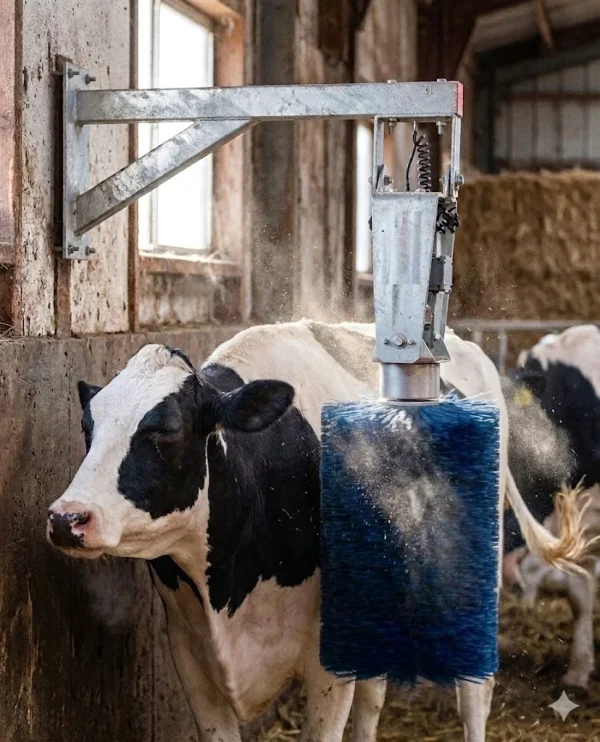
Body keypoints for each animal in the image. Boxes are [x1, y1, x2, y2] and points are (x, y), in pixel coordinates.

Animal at [46, 320, 587, 742]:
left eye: (165, 431)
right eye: (87, 427)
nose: (67, 517)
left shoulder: (327, 664)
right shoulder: (191, 654)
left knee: (475, 695)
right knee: (374, 697)